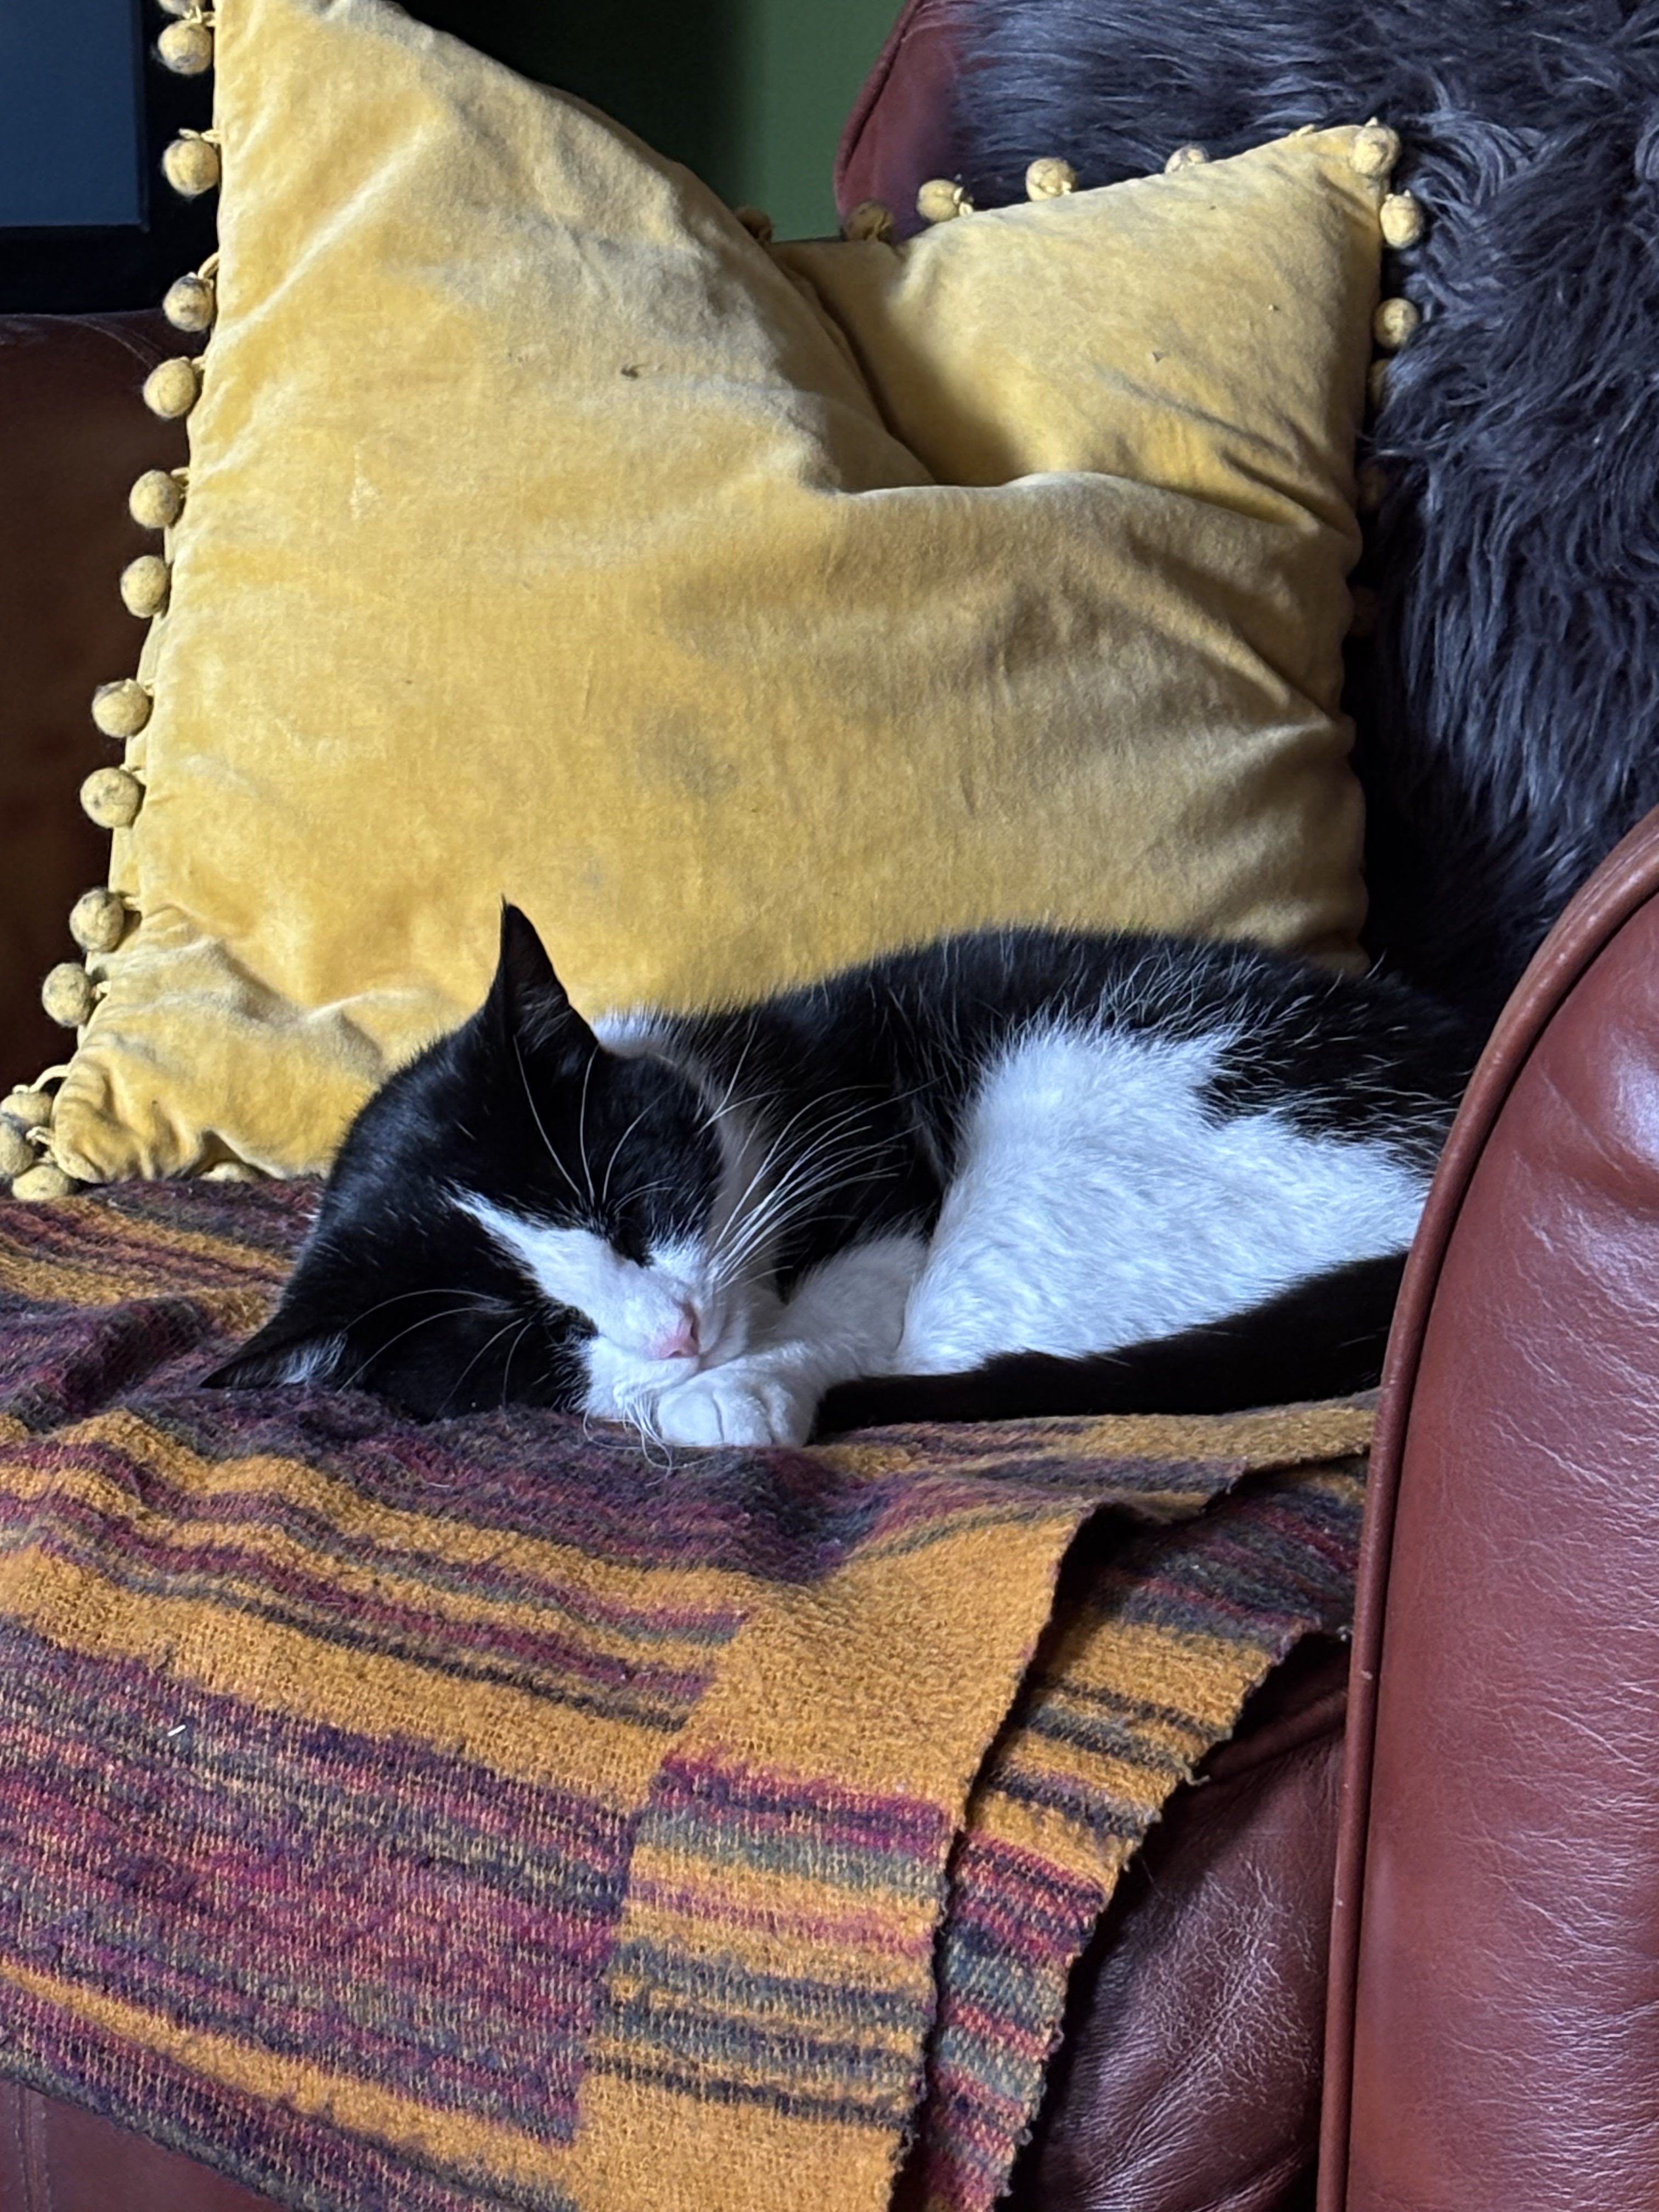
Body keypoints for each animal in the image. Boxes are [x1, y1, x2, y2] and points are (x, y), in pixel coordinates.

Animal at [204, 907, 1469, 1442]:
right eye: (534, 1333)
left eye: (625, 1208)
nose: (676, 1331)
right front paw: (665, 1385)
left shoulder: (873, 1154)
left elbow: (860, 1303)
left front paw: (739, 1393)